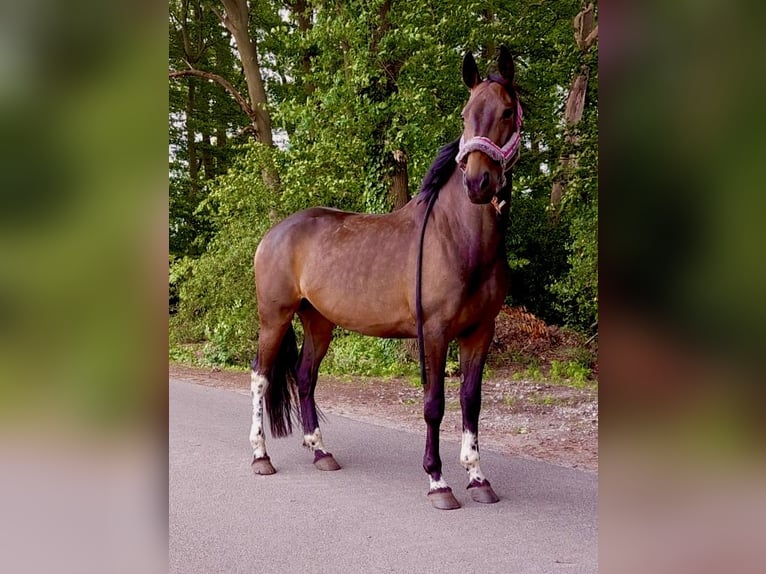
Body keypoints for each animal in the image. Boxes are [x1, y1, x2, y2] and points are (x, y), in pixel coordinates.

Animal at [249, 47, 524, 510]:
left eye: (507, 111)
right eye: (465, 114)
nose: (477, 182)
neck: (457, 237)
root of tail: (274, 233)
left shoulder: (479, 332)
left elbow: (471, 402)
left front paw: (478, 478)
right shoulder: (434, 332)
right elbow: (434, 404)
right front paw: (438, 481)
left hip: (318, 321)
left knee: (305, 377)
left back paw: (321, 452)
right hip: (275, 317)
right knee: (260, 375)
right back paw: (260, 456)